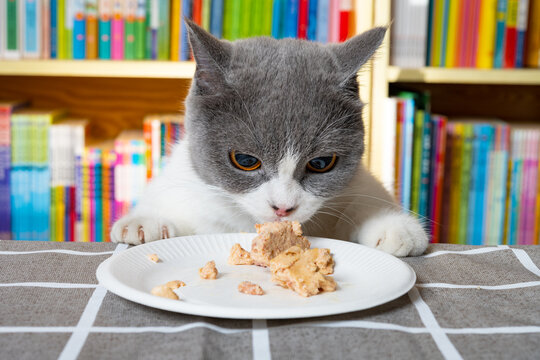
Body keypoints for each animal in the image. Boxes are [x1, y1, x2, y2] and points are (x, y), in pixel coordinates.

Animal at [112, 19, 428, 258]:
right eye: (245, 160)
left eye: (321, 163)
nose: (283, 208)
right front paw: (145, 222)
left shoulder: (356, 183)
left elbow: (366, 199)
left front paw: (396, 228)